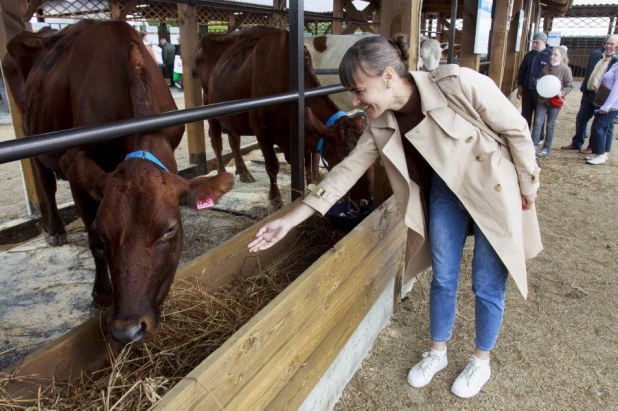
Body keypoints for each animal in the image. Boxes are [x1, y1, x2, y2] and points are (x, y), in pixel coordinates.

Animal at [4, 21, 233, 344]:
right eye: (102, 229)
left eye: (170, 229)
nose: (128, 329)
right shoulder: (79, 173)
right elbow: (94, 245)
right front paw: (101, 296)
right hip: (31, 134)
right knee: (44, 182)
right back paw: (55, 230)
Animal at [197, 27, 370, 209]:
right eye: (345, 161)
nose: (366, 199)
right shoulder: (261, 129)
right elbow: (272, 166)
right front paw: (275, 200)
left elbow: (309, 163)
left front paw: (310, 187)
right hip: (209, 105)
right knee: (216, 141)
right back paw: (221, 175)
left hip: (233, 115)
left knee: (233, 139)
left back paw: (244, 172)